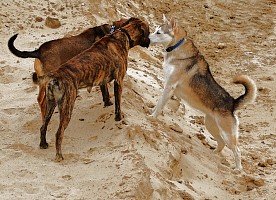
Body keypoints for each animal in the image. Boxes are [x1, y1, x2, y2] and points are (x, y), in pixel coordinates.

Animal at [38, 17, 150, 161]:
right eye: (149, 32)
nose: (150, 41)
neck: (124, 33)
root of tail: (56, 76)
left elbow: (106, 96)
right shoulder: (119, 81)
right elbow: (118, 104)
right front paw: (119, 118)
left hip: (50, 104)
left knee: (43, 126)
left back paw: (43, 144)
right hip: (67, 107)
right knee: (59, 133)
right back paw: (59, 155)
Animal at [149, 14, 256, 170]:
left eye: (158, 32)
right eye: (154, 30)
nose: (147, 38)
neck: (177, 47)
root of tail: (232, 103)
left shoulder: (169, 86)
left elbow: (159, 105)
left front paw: (152, 116)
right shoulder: (169, 88)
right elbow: (161, 103)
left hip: (227, 134)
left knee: (237, 150)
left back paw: (237, 169)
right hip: (210, 125)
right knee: (221, 144)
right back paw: (213, 155)